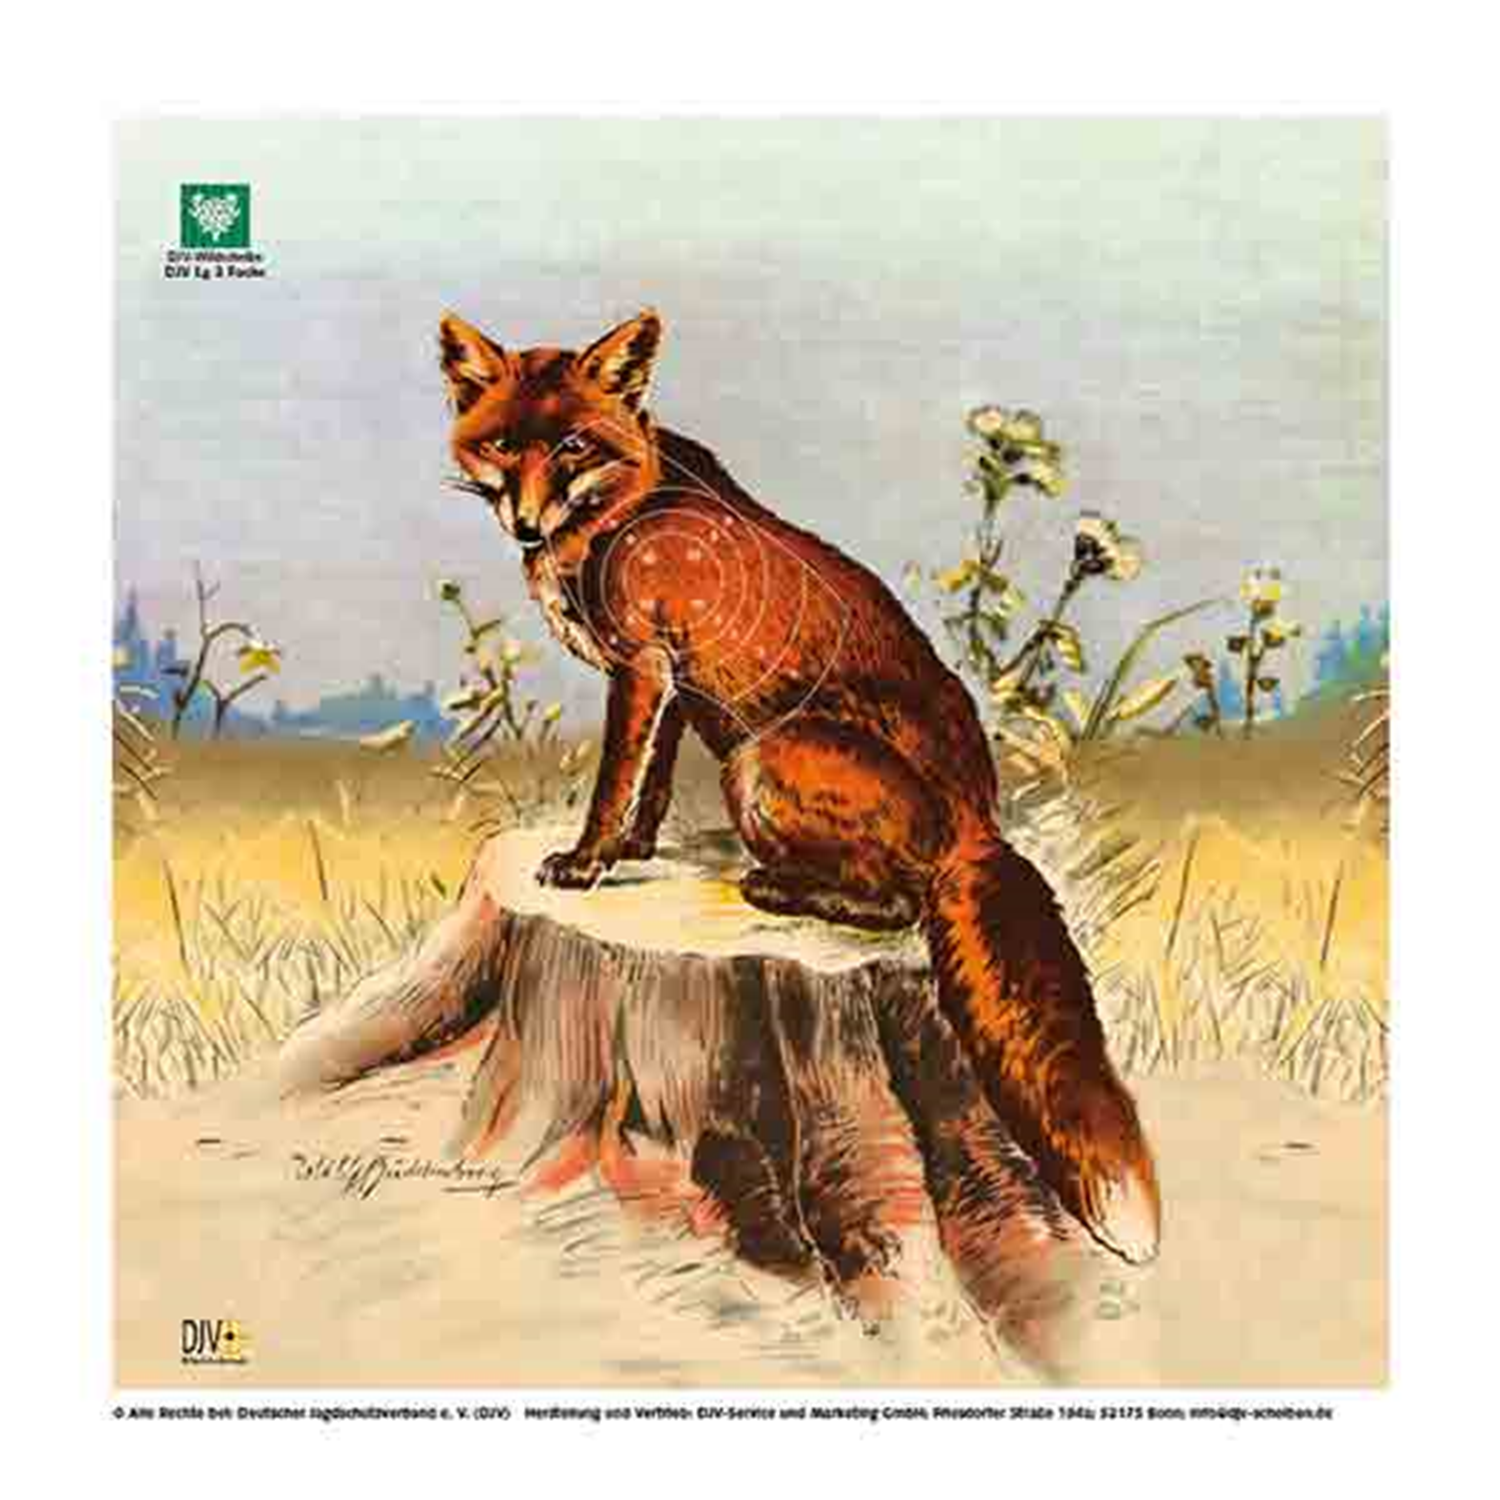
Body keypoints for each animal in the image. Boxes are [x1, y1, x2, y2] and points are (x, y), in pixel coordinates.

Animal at [438, 307, 1161, 1264]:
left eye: (573, 447)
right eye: (504, 444)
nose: (524, 524)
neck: (624, 504)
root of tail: (982, 819)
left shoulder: (641, 668)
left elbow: (613, 781)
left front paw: (588, 862)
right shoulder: (675, 686)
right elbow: (650, 785)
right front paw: (635, 851)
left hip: (759, 761)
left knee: (901, 903)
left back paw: (781, 887)